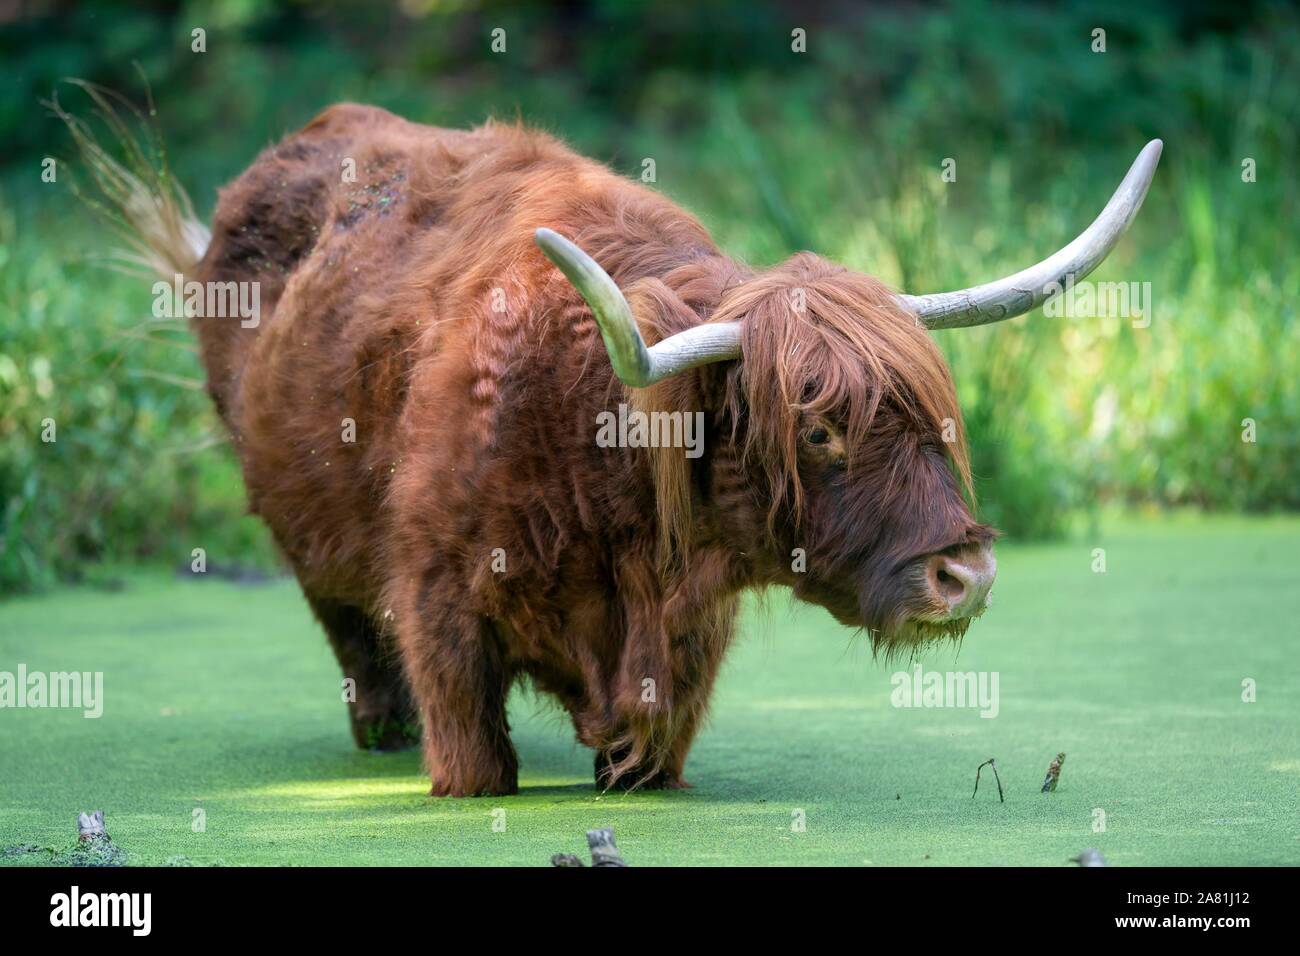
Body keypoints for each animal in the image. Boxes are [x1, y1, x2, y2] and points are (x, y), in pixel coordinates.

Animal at [68, 98, 1159, 801]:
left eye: (934, 416)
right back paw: (379, 733)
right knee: (349, 636)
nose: (964, 574)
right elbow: (471, 758)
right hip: (311, 546)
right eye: (818, 427)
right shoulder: (438, 601)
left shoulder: (682, 648)